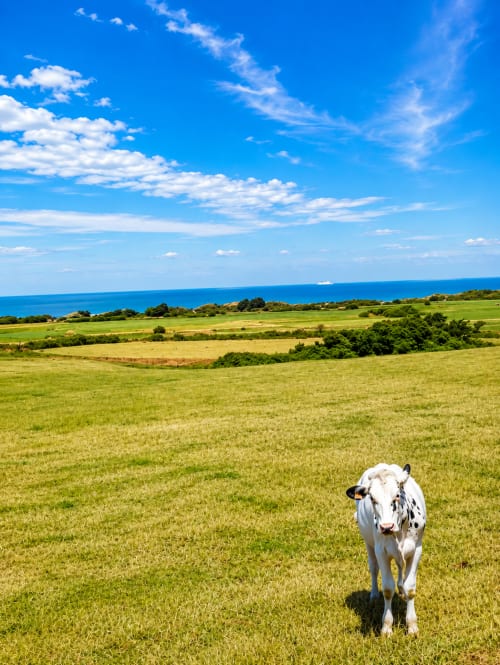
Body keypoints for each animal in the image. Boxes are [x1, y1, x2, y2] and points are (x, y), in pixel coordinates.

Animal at [346, 463, 426, 636]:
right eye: (372, 498)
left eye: (397, 495)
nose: (386, 527)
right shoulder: (381, 552)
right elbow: (388, 588)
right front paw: (387, 627)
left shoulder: (416, 549)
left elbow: (410, 587)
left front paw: (412, 626)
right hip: (369, 544)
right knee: (373, 568)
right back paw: (374, 595)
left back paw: (401, 589)